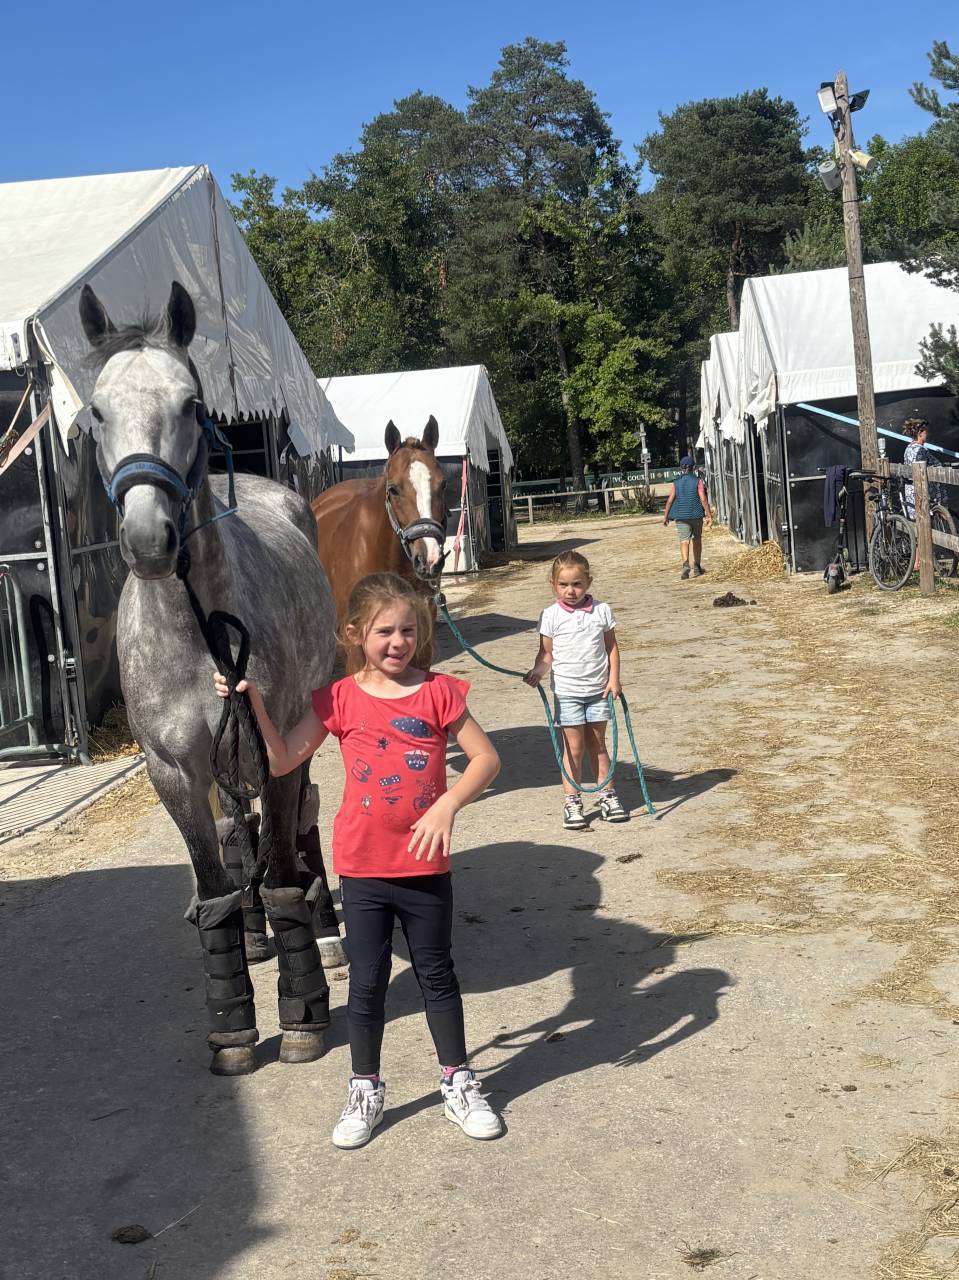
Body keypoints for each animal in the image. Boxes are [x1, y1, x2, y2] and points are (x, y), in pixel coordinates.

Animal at [80, 280, 343, 1076]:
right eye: (95, 412)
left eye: (192, 405)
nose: (148, 540)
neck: (197, 629)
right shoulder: (173, 771)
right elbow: (216, 885)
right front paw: (232, 1022)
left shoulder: (280, 744)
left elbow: (282, 867)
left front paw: (302, 1013)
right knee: (238, 827)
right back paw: (257, 935)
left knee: (301, 823)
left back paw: (324, 931)